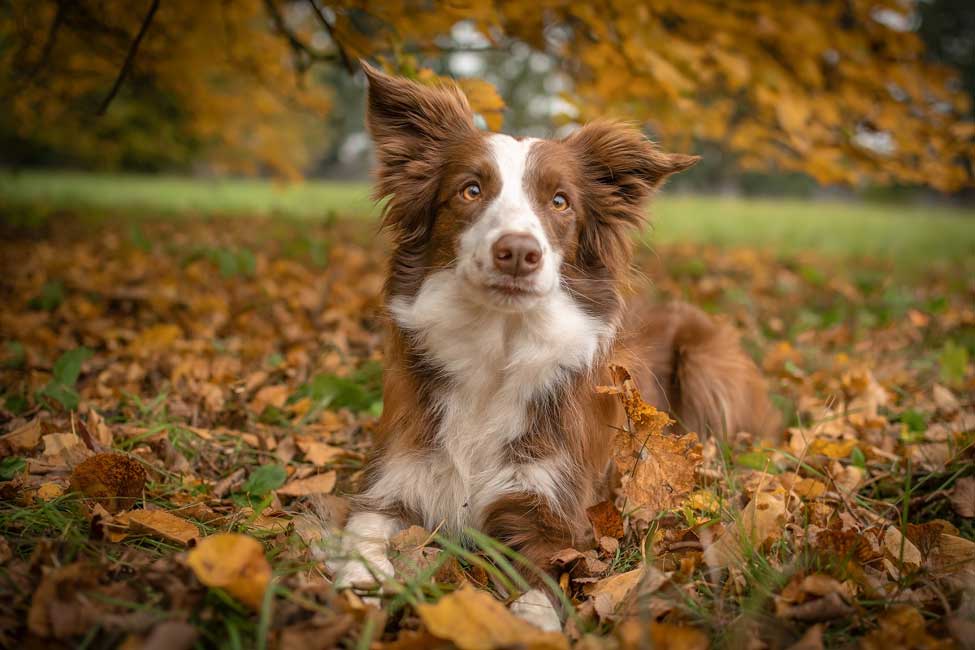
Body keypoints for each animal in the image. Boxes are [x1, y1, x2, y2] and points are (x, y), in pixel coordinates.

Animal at [326, 64, 776, 628]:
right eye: (470, 190)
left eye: (559, 202)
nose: (518, 252)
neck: (497, 351)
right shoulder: (395, 480)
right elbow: (362, 530)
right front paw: (358, 586)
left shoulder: (553, 510)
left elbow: (546, 578)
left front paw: (533, 622)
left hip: (705, 362)